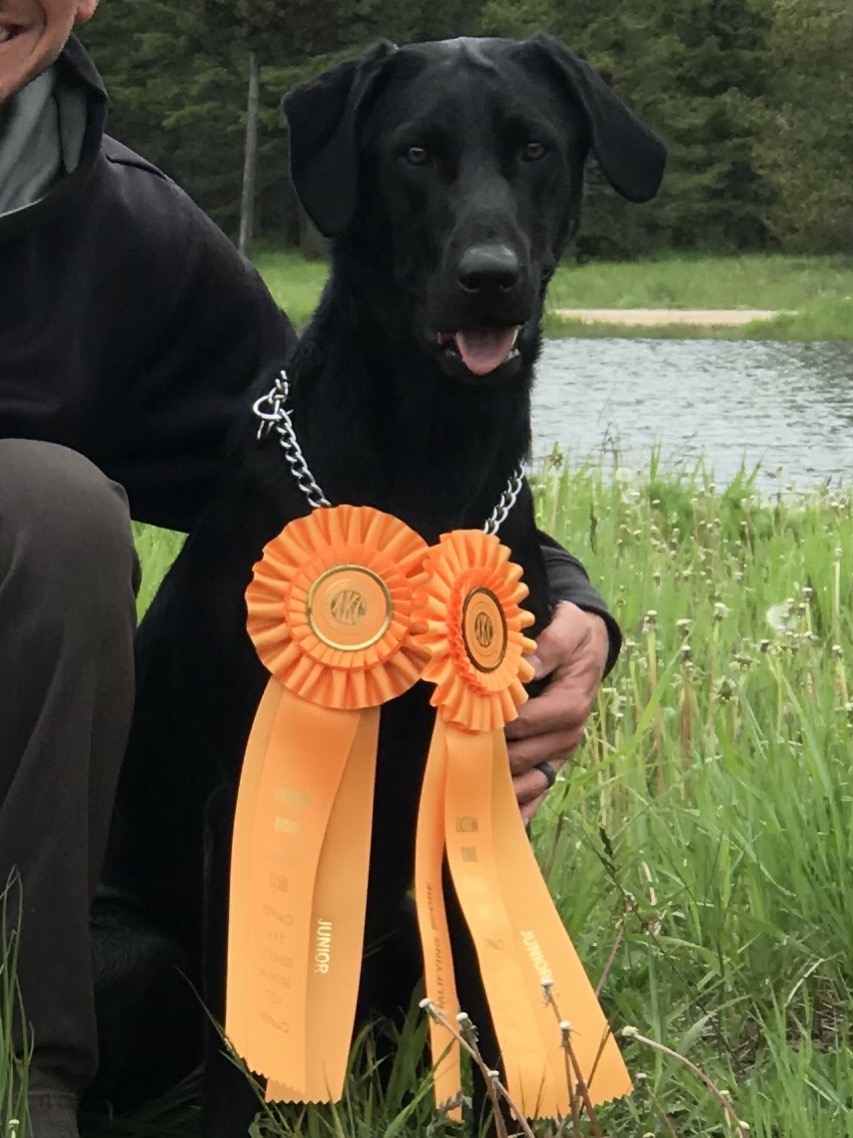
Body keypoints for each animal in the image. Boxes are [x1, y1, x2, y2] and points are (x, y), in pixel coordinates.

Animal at [94, 33, 668, 1138]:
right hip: (138, 954)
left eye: (535, 148)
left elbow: (491, 1006)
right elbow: (243, 1047)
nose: (490, 279)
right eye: (413, 153)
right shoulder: (242, 794)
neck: (432, 450)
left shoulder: (474, 795)